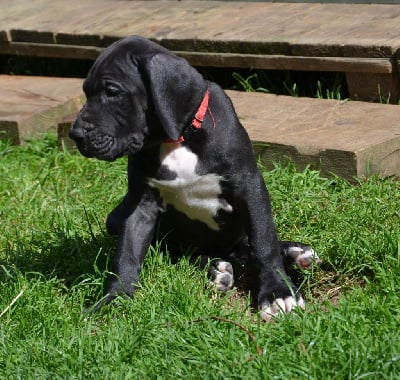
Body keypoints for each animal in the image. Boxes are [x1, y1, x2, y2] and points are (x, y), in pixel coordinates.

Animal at [69, 36, 318, 320]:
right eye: (87, 92)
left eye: (112, 92)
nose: (75, 134)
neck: (178, 138)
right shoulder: (140, 204)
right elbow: (127, 253)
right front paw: (115, 297)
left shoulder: (249, 186)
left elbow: (263, 241)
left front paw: (277, 292)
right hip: (117, 220)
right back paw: (217, 269)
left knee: (251, 245)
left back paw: (294, 252)